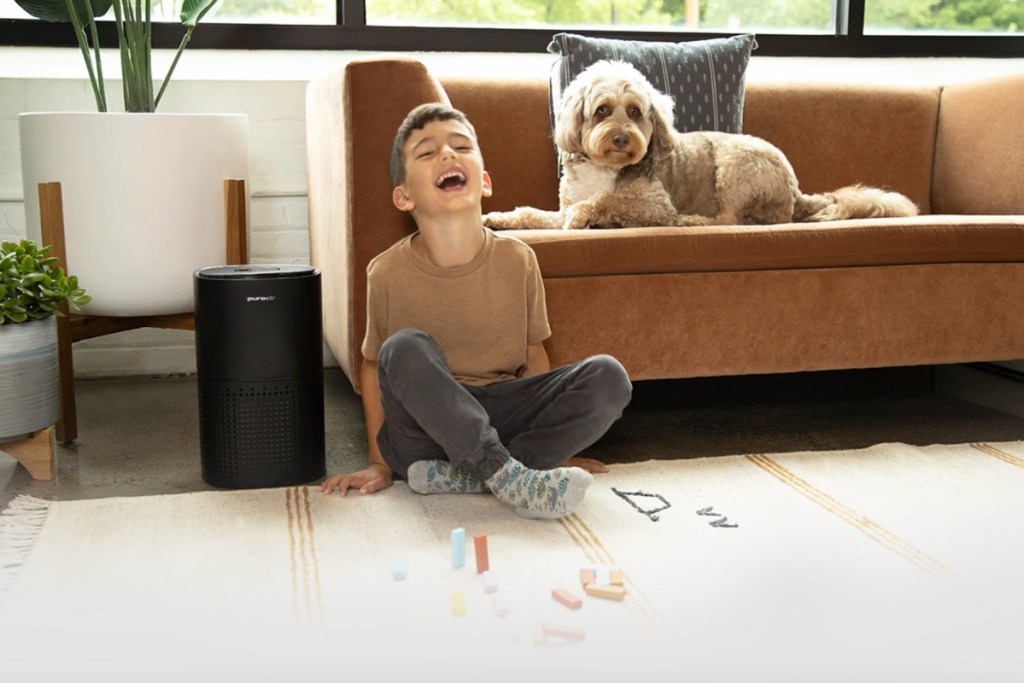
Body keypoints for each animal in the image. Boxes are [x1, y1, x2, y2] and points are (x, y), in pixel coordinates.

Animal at [485, 59, 921, 229]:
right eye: (602, 110)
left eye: (635, 112)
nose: (623, 138)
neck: (606, 168)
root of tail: (795, 188)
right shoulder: (560, 208)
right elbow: (533, 214)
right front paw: (498, 218)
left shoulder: (653, 204)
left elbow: (606, 200)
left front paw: (589, 215)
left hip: (734, 166)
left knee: (729, 219)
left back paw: (692, 221)